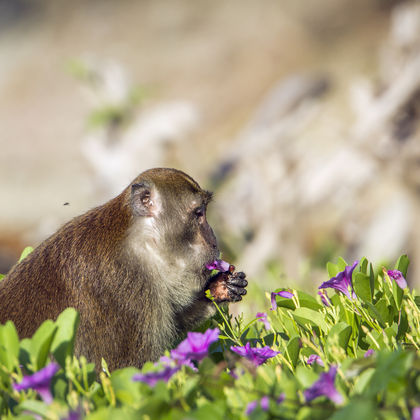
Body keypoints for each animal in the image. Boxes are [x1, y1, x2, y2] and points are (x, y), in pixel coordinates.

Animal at [0, 167, 248, 370]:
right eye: (198, 214)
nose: (213, 239)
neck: (139, 243)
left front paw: (219, 288)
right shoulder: (126, 290)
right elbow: (128, 370)